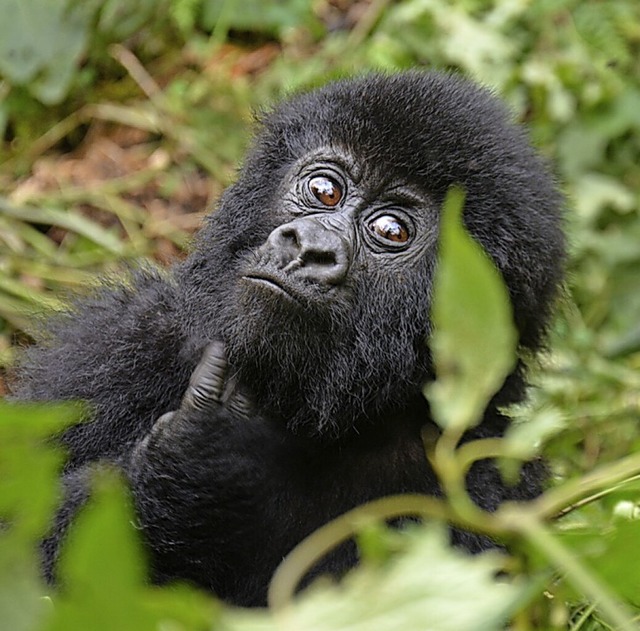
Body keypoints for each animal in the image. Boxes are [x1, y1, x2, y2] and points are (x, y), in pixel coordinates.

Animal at [15, 73, 564, 608]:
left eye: (392, 229)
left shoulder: (491, 490)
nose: (310, 247)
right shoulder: (114, 345)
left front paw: (199, 459)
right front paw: (189, 470)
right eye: (324, 190)